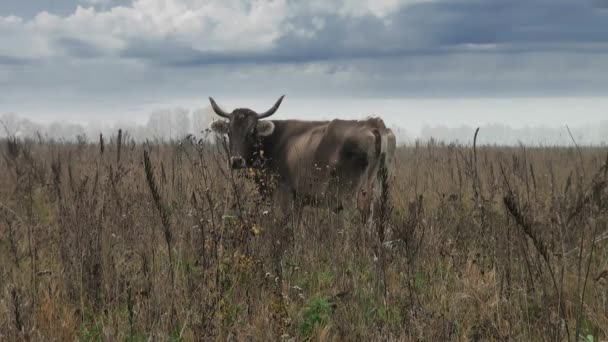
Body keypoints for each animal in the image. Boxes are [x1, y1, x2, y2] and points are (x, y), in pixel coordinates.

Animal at [208, 95, 400, 220]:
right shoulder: (299, 199)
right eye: (229, 132)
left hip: (351, 194)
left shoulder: (283, 195)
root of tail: (373, 123)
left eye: (251, 132)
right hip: (383, 186)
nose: (236, 160)